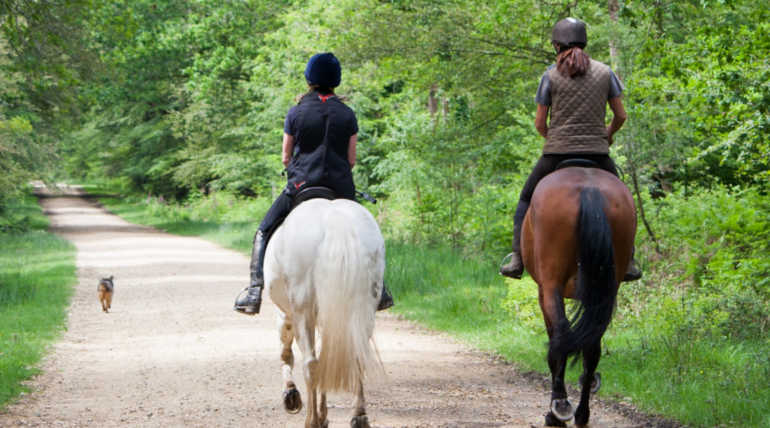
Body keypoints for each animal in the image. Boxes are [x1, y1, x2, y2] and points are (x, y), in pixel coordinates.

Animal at [264, 197, 385, 428]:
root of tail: (335, 219)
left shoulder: (285, 314)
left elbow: (286, 353)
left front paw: (291, 395)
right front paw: (324, 413)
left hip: (302, 309)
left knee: (310, 364)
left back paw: (312, 421)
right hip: (363, 308)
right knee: (355, 356)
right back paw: (359, 416)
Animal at [521, 166, 636, 427]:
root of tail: (589, 189)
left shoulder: (544, 291)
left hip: (551, 285)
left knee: (561, 335)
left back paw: (559, 408)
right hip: (607, 288)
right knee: (592, 346)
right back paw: (583, 412)